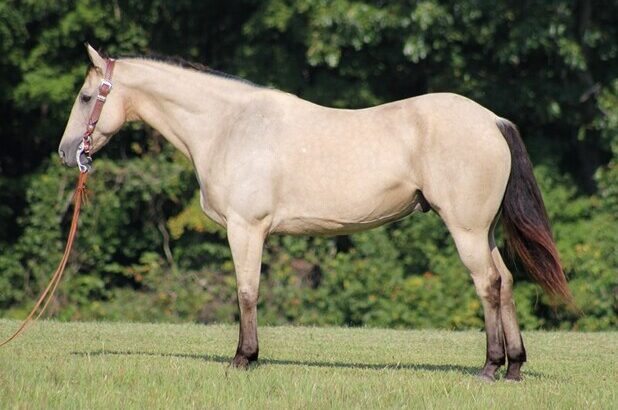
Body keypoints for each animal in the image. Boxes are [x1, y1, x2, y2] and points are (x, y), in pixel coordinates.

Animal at [57, 44, 568, 382]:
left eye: (85, 97)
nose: (66, 153)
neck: (229, 126)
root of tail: (491, 120)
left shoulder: (246, 229)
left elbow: (246, 292)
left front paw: (243, 358)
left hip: (466, 230)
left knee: (489, 284)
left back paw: (490, 367)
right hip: (483, 231)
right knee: (506, 282)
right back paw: (515, 366)